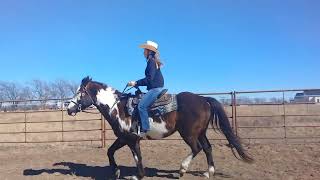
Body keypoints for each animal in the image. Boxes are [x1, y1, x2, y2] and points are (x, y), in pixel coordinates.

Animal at [67, 76, 252, 179]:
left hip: (189, 134)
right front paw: (117, 172)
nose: (69, 109)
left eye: (80, 92)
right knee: (207, 148)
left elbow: (137, 158)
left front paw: (138, 176)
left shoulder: (132, 139)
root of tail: (203, 99)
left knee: (197, 148)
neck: (117, 107)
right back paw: (209, 172)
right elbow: (109, 151)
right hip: (200, 132)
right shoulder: (122, 138)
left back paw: (182, 169)